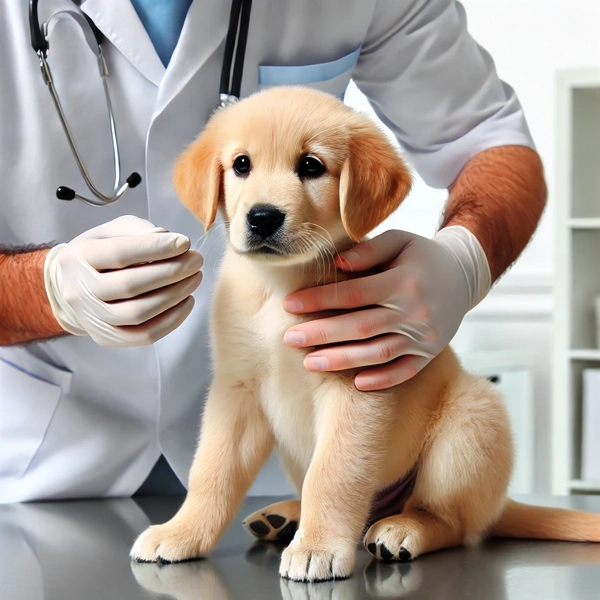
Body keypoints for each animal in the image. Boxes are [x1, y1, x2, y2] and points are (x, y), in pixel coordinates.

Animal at [130, 85, 600, 580]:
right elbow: (211, 471)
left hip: (472, 414)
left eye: (311, 166)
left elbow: (333, 473)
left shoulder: (354, 385)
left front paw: (317, 546)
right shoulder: (236, 389)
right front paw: (182, 532)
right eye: (241, 164)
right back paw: (285, 515)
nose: (262, 217)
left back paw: (402, 528)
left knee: (450, 521)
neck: (280, 287)